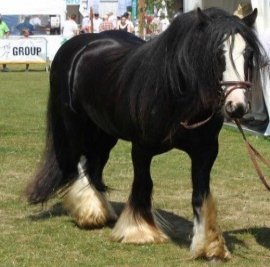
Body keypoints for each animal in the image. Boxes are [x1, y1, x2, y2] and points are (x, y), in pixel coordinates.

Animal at [26, 7, 264, 262]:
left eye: (248, 52)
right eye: (217, 53)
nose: (236, 107)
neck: (176, 96)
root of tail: (76, 46)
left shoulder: (205, 152)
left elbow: (200, 194)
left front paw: (209, 245)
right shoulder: (141, 149)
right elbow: (143, 184)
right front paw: (139, 231)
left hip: (104, 133)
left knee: (94, 167)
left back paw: (101, 211)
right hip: (75, 127)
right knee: (79, 165)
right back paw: (89, 213)